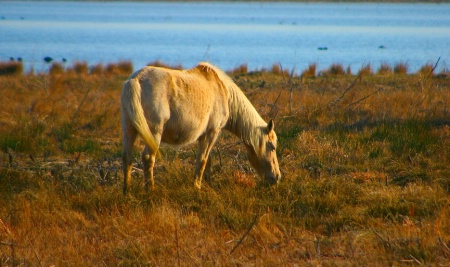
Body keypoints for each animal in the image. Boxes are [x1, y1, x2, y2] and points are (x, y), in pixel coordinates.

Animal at [119, 61, 282, 194]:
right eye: (272, 147)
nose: (277, 177)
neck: (223, 90)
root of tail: (135, 80)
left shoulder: (204, 136)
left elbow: (207, 161)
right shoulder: (212, 132)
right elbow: (202, 160)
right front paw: (196, 187)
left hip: (129, 130)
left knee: (127, 157)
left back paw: (127, 190)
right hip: (154, 132)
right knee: (148, 157)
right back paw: (150, 190)